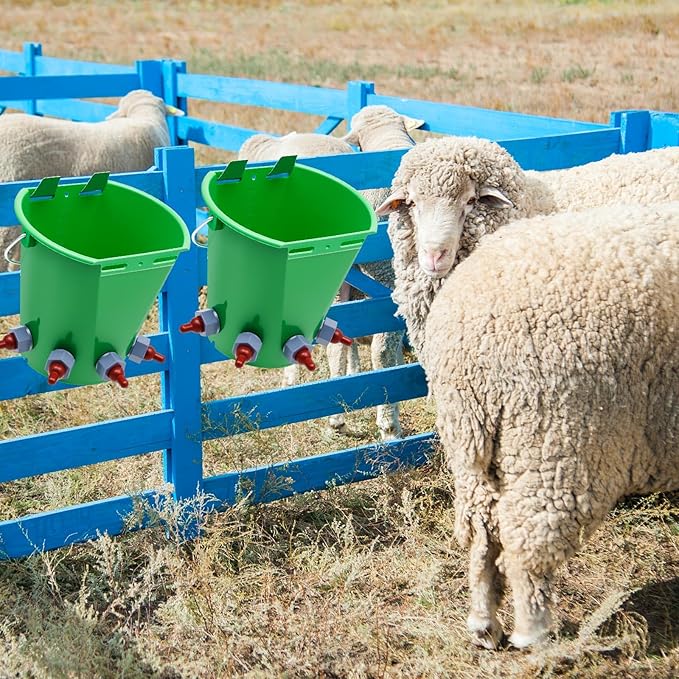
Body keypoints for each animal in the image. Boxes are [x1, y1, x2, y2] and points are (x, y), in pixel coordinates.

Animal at [419, 203, 679, 649]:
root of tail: (464, 341)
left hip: (477, 454)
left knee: (481, 536)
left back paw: (484, 625)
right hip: (556, 441)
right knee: (528, 543)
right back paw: (532, 632)